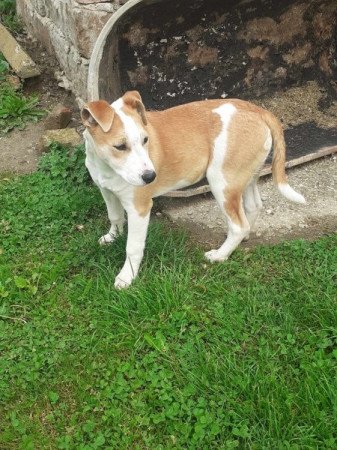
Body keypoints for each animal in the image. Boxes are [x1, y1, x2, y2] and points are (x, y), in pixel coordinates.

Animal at [80, 91, 304, 288]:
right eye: (120, 146)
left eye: (145, 140)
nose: (151, 177)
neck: (107, 167)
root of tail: (258, 110)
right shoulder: (107, 191)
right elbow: (115, 217)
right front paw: (112, 237)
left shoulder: (139, 208)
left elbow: (133, 246)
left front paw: (127, 277)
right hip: (246, 176)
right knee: (253, 207)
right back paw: (243, 238)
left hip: (221, 181)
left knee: (238, 225)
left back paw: (220, 255)